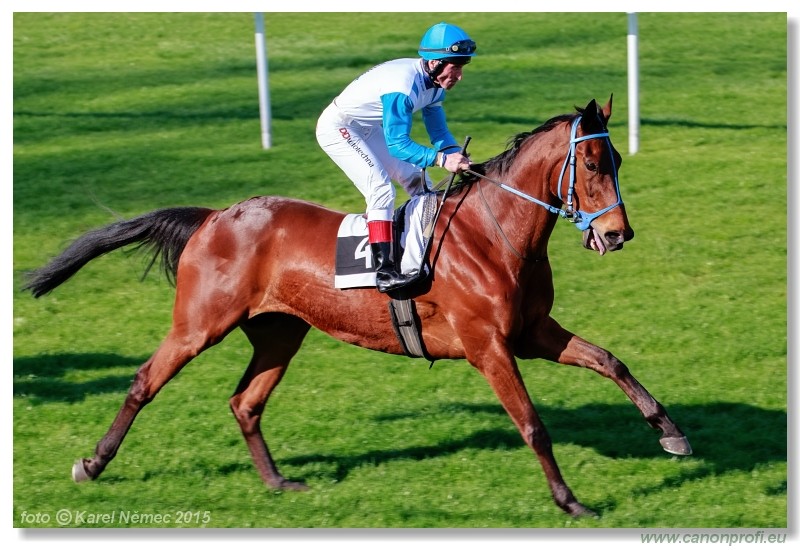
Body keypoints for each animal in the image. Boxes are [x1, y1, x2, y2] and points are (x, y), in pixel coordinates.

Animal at [24, 97, 692, 518]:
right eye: (593, 162)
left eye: (618, 160)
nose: (617, 235)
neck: (493, 232)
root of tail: (214, 216)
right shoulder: (488, 346)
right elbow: (533, 423)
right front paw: (570, 500)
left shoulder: (532, 332)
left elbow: (610, 360)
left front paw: (671, 433)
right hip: (200, 324)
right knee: (144, 381)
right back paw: (93, 463)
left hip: (279, 333)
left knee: (245, 402)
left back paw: (278, 481)